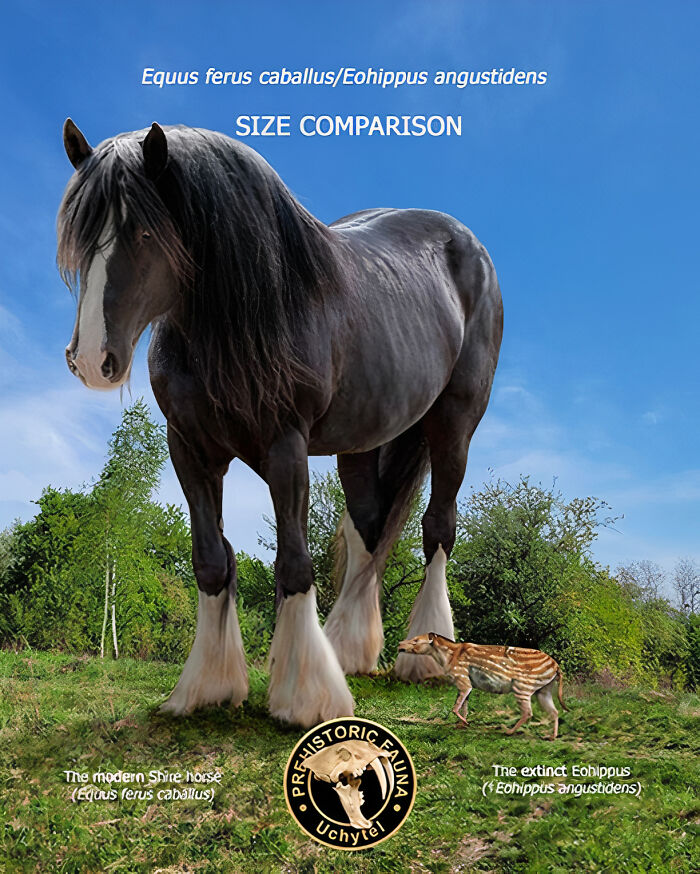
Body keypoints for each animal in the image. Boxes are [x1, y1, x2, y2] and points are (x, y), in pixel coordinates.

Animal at [58, 119, 503, 728]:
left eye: (146, 233)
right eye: (80, 237)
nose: (91, 359)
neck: (239, 320)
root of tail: (467, 244)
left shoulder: (285, 446)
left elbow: (294, 564)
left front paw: (306, 697)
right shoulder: (189, 447)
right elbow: (211, 561)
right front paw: (204, 687)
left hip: (454, 423)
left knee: (437, 528)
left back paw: (423, 659)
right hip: (363, 439)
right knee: (368, 528)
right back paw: (348, 650)